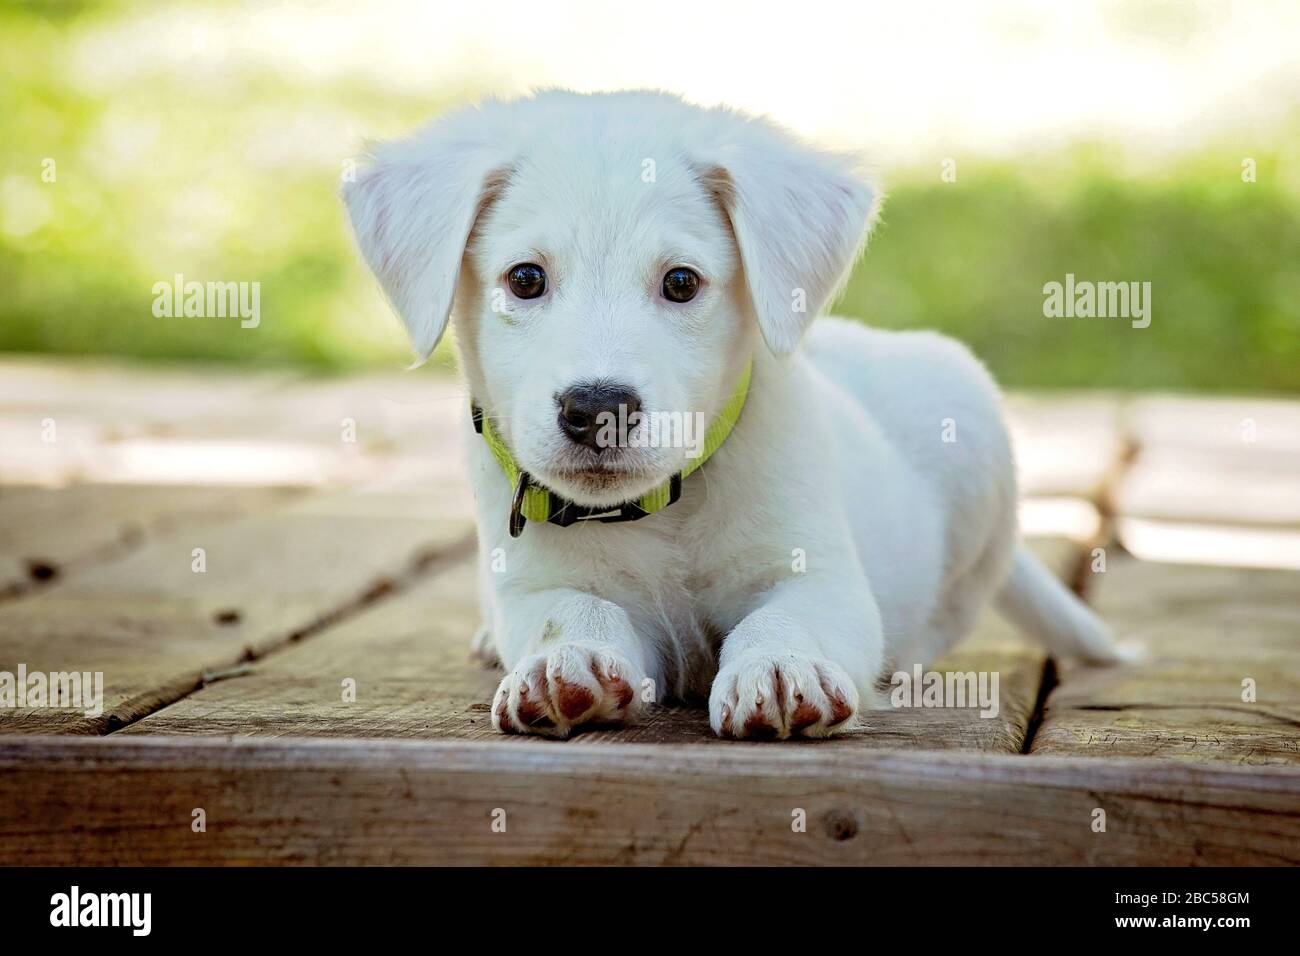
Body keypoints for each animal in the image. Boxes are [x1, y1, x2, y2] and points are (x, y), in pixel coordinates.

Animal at [343, 91, 1118, 738]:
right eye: (525, 279)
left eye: (682, 283)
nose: (597, 409)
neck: (663, 512)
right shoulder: (535, 584)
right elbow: (572, 611)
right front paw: (566, 663)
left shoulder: (821, 577)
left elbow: (785, 618)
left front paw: (779, 668)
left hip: (970, 429)